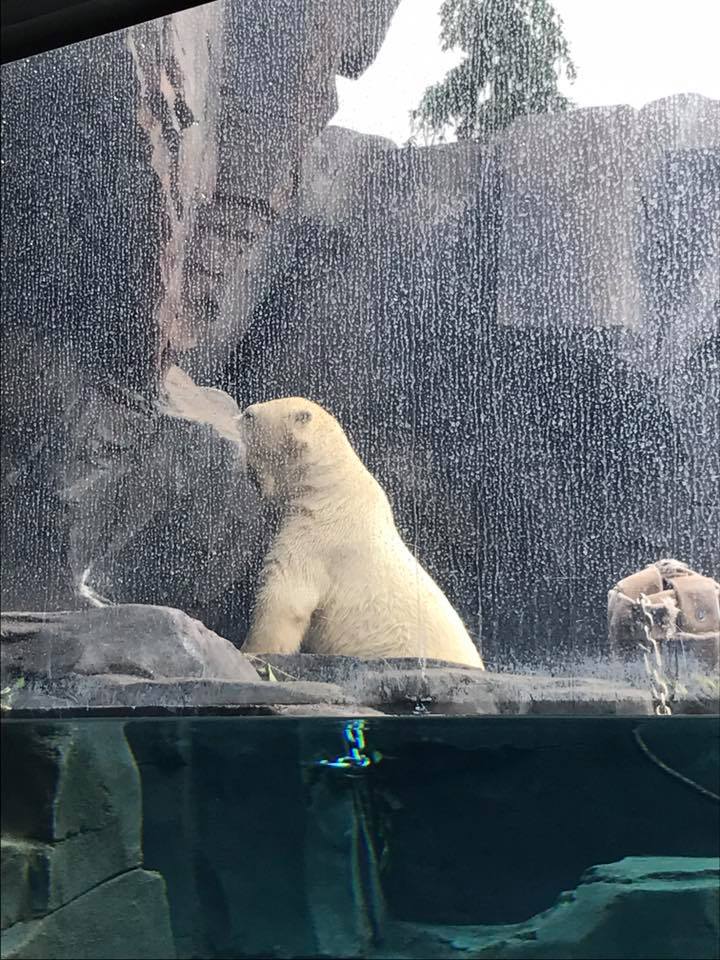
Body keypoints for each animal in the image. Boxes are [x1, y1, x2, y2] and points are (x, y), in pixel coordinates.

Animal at [236, 397, 484, 668]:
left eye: (249, 415)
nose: (237, 416)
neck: (330, 487)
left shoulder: (320, 536)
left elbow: (285, 597)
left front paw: (250, 651)